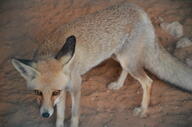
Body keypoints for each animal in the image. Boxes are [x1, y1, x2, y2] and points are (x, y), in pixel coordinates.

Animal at [11, 1, 192, 127]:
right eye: (37, 92)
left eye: (55, 92)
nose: (45, 115)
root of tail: (139, 10)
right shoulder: (64, 90)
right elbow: (60, 115)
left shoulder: (75, 87)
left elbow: (74, 115)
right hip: (119, 57)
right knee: (125, 70)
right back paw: (118, 85)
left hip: (128, 60)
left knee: (148, 82)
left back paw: (142, 110)